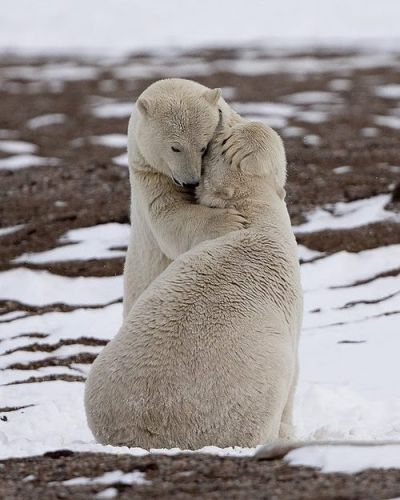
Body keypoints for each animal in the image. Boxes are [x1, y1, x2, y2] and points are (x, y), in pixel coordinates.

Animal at [123, 77, 245, 316]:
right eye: (175, 147)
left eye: (203, 147)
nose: (191, 181)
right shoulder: (148, 172)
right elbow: (168, 217)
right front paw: (230, 221)